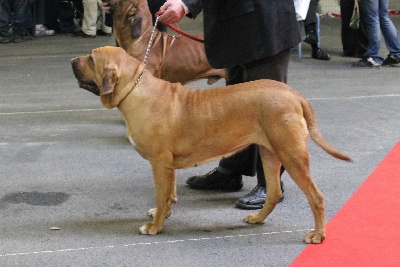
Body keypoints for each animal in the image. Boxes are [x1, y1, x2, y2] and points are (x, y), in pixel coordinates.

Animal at [70, 46, 352, 245]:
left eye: (91, 59)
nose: (72, 61)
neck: (135, 90)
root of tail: (294, 95)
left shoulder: (159, 162)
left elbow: (161, 195)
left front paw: (155, 227)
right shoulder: (168, 165)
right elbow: (168, 194)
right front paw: (164, 214)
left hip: (291, 154)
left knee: (316, 196)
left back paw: (317, 235)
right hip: (269, 153)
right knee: (273, 192)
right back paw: (257, 218)